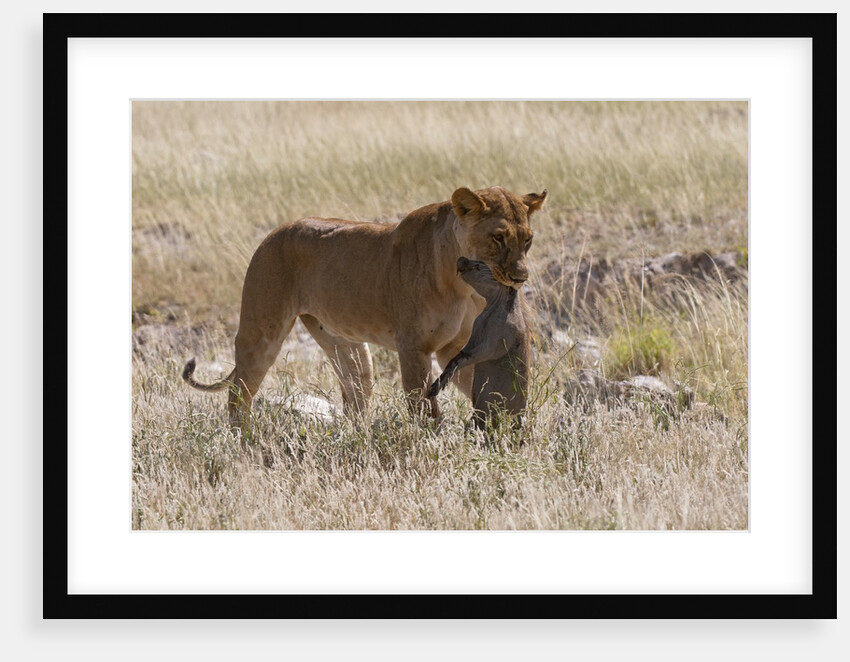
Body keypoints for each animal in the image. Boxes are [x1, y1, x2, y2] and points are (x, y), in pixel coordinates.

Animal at [182, 186, 547, 431]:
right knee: (238, 394)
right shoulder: (414, 347)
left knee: (354, 397)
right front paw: (429, 444)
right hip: (261, 331)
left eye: (528, 239)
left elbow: (479, 387)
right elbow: (422, 406)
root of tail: (274, 232)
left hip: (347, 347)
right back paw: (242, 442)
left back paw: (358, 438)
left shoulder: (454, 348)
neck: (462, 285)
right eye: (498, 237)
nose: (521, 277)